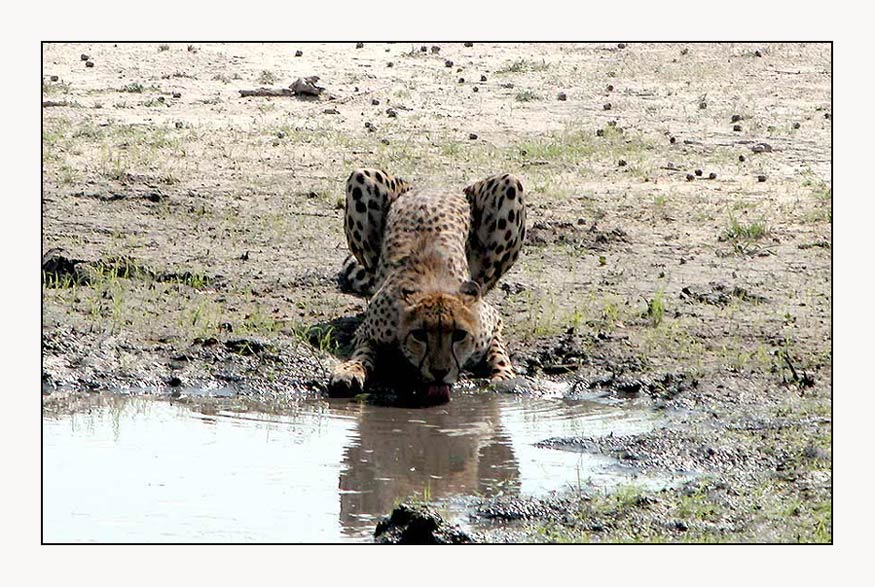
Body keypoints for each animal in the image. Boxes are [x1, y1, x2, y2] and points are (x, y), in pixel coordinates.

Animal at [330, 168, 528, 402]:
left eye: (459, 335)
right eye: (420, 334)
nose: (439, 372)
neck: (435, 287)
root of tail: (436, 186)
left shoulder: (491, 320)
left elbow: (498, 349)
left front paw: (504, 375)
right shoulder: (368, 331)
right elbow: (364, 351)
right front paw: (350, 370)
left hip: (510, 185)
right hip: (362, 177)